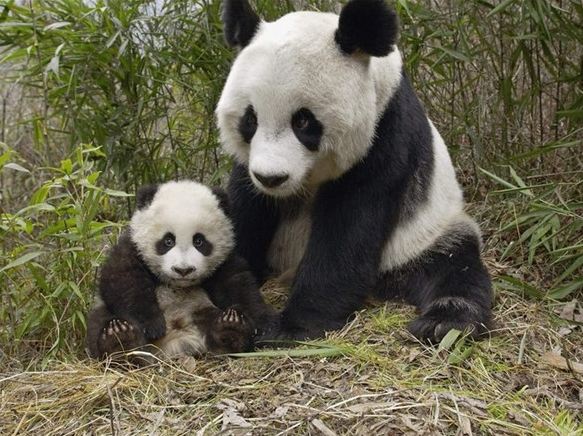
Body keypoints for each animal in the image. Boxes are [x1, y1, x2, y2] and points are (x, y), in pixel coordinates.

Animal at [86, 179, 276, 360]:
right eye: (168, 241)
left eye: (199, 241)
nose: (183, 270)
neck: (177, 285)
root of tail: (175, 343)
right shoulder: (133, 247)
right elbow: (123, 280)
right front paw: (152, 325)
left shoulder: (224, 261)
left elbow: (239, 285)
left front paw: (263, 325)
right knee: (99, 321)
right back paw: (120, 340)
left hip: (201, 310)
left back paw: (231, 330)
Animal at [217, 0, 496, 344]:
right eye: (250, 120)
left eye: (303, 121)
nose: (271, 178)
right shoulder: (249, 169)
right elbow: (245, 209)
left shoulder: (385, 136)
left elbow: (348, 230)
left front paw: (290, 327)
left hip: (426, 235)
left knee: (455, 268)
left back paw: (444, 322)